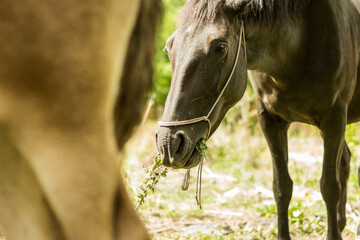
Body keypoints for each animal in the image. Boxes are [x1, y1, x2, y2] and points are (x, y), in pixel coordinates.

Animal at [156, 0, 360, 239]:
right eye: (169, 47)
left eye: (221, 47)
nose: (170, 143)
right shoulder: (270, 120)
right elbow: (281, 187)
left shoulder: (334, 119)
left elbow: (329, 187)